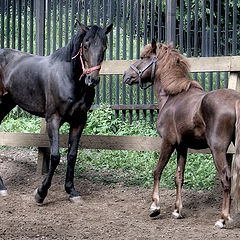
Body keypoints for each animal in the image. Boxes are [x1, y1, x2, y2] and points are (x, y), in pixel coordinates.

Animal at [0, 22, 112, 203]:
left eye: (104, 47)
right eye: (86, 45)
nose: (92, 80)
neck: (68, 77)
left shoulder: (79, 121)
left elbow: (72, 155)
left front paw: (72, 191)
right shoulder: (53, 120)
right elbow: (55, 156)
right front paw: (41, 192)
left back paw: (2, 187)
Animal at [123, 40, 240, 228]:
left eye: (143, 57)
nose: (126, 75)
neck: (172, 97)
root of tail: (235, 99)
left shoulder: (168, 142)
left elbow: (157, 171)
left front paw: (155, 207)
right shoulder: (182, 146)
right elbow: (179, 177)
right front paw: (177, 211)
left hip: (218, 149)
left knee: (226, 178)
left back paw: (222, 219)